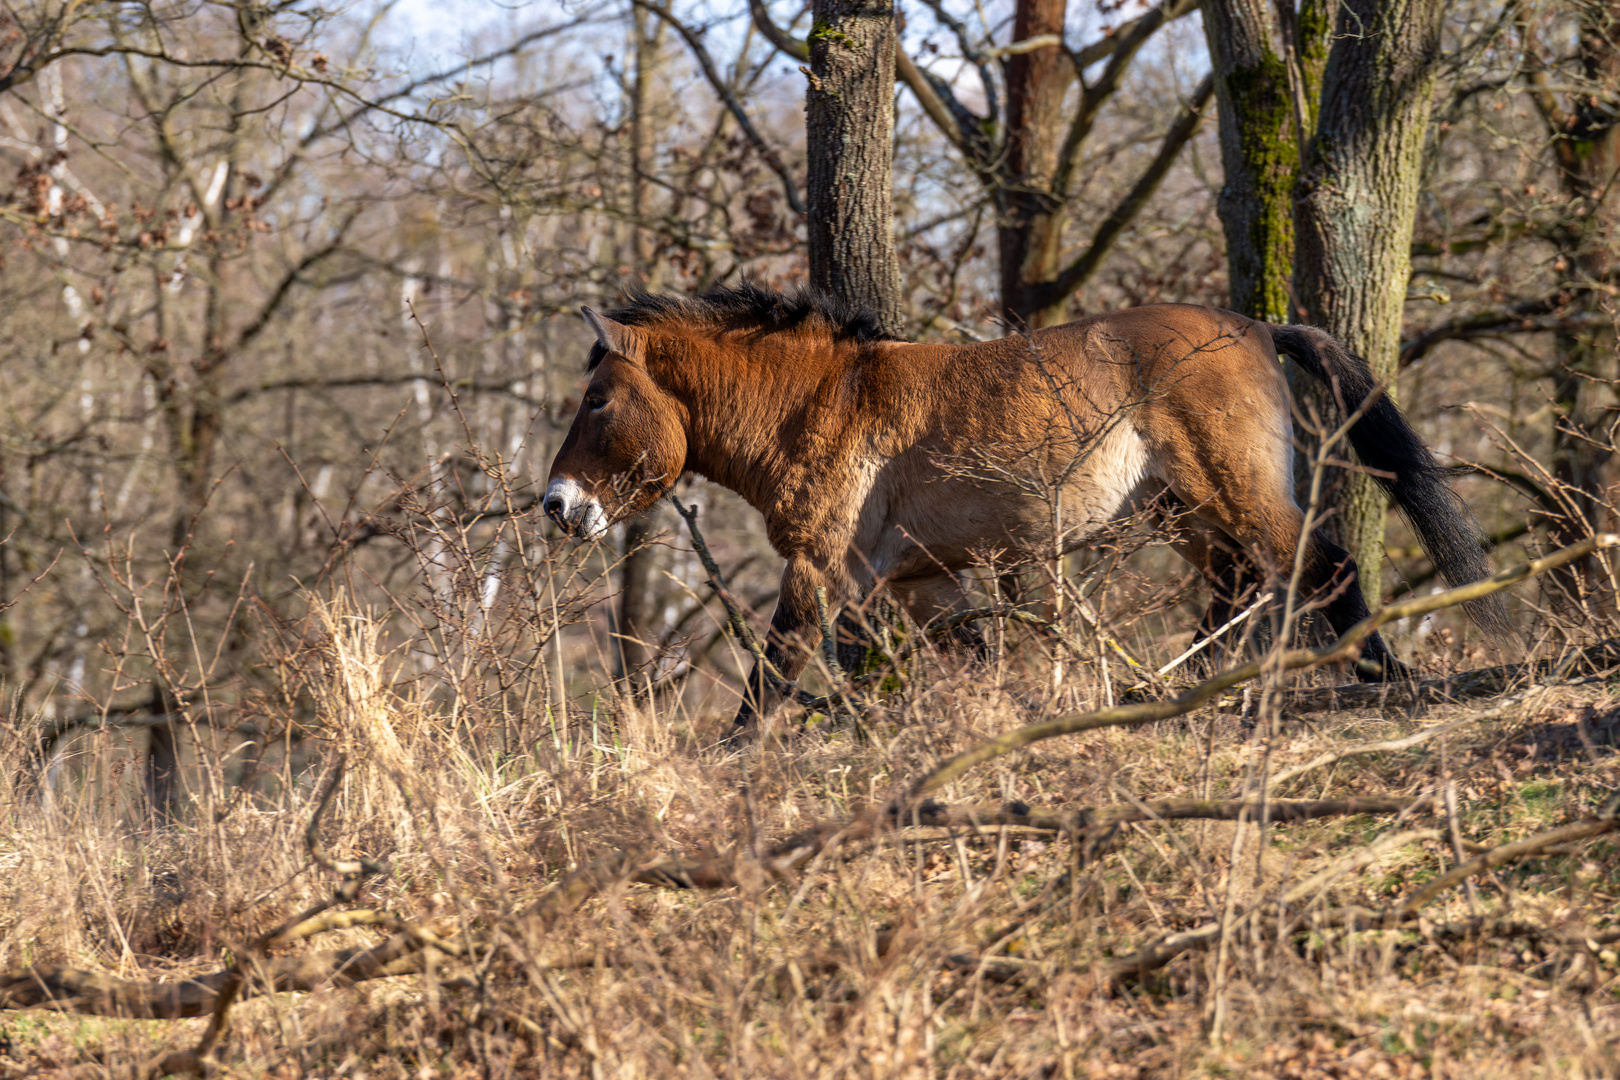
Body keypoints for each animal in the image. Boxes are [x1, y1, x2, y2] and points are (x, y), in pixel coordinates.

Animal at [547, 284, 1516, 735]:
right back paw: (1178, 693)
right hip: (1184, 517)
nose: (555, 504)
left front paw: (732, 761)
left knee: (1323, 567)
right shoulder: (924, 583)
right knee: (1241, 589)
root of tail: (1256, 326)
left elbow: (771, 674)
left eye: (597, 399)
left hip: (1233, 494)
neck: (823, 400)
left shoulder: (820, 571)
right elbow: (975, 661)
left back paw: (1383, 678)